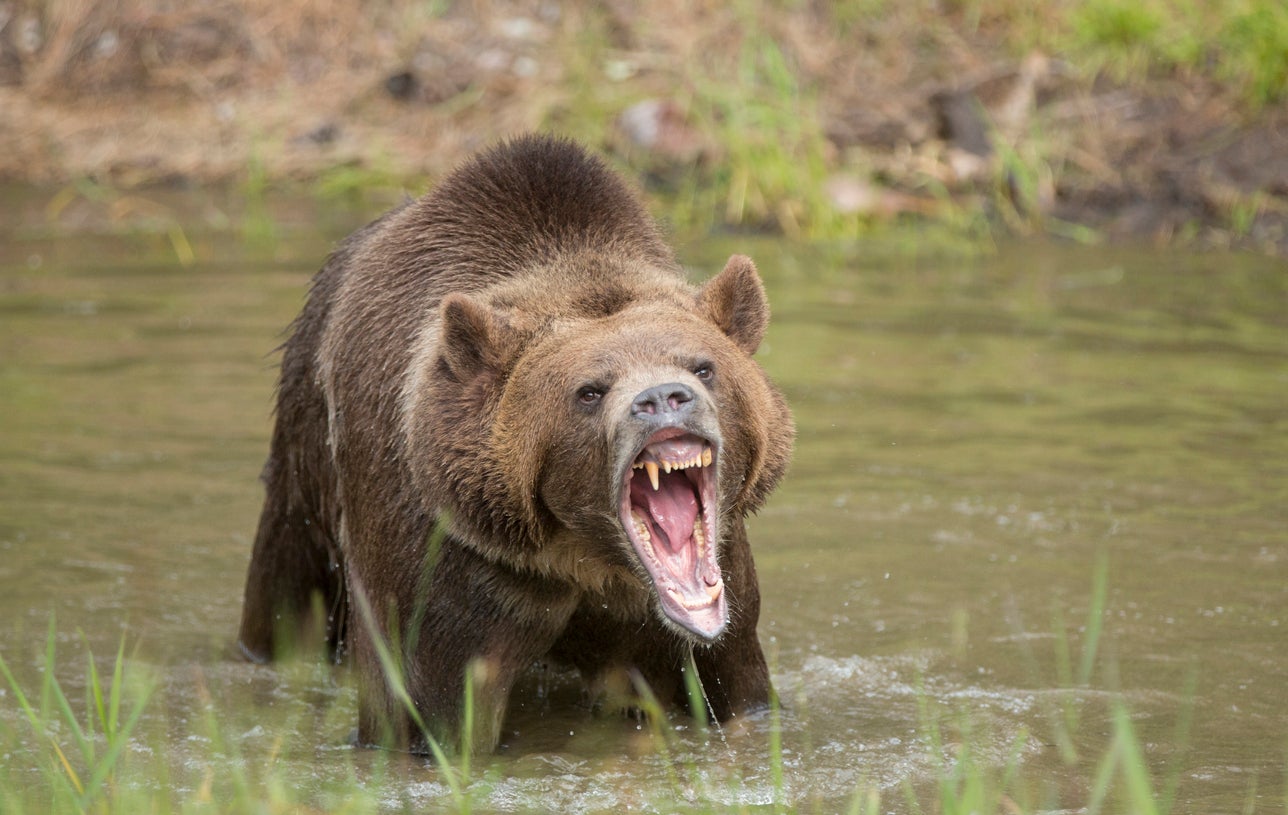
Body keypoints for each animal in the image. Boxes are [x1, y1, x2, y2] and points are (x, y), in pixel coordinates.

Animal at [236, 134, 794, 754]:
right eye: (589, 391)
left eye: (703, 366)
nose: (663, 398)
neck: (586, 555)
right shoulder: (453, 564)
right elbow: (427, 708)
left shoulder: (714, 594)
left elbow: (736, 684)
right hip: (307, 457)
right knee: (288, 590)